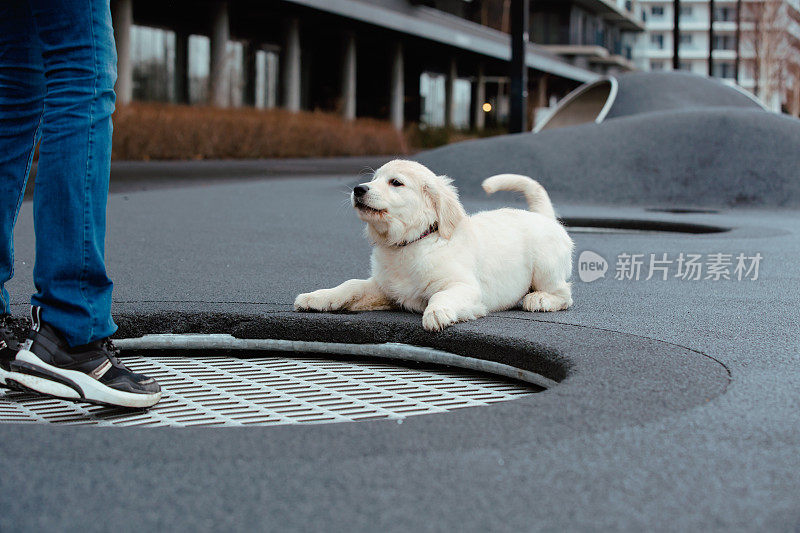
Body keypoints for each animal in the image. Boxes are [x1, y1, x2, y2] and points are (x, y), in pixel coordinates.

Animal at [294, 160, 576, 330]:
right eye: (373, 179)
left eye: (396, 182)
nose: (358, 189)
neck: (410, 243)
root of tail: (543, 216)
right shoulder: (384, 288)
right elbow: (350, 285)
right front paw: (317, 297)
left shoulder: (464, 287)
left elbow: (442, 295)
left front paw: (437, 312)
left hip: (545, 266)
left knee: (564, 294)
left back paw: (540, 299)